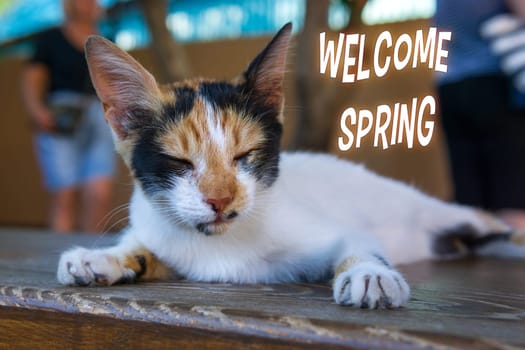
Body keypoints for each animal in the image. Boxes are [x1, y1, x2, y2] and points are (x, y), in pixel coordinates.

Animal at [56, 23, 524, 308]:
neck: (220, 244)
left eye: (246, 155)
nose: (219, 200)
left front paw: (371, 273)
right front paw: (101, 257)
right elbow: (144, 246)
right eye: (178, 161)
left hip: (442, 212)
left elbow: (358, 242)